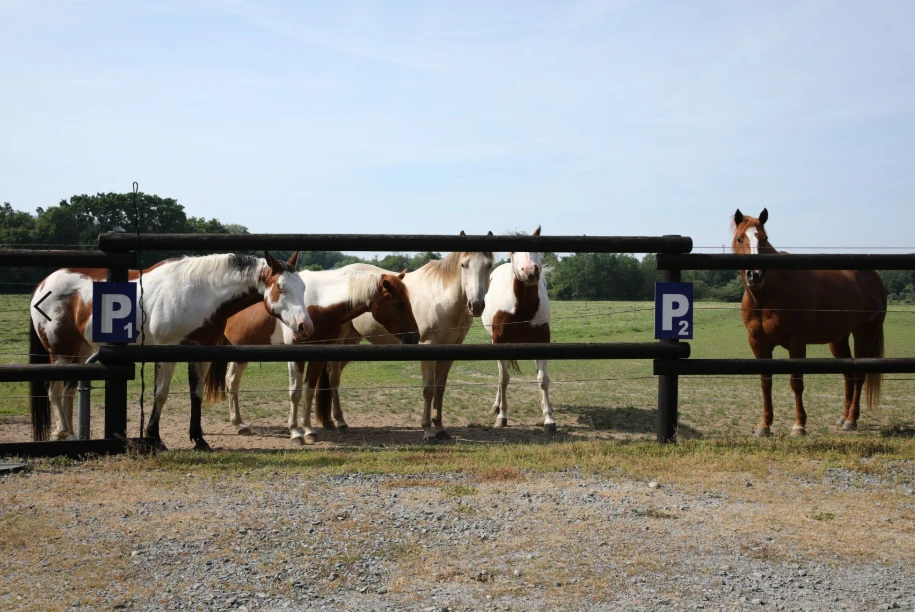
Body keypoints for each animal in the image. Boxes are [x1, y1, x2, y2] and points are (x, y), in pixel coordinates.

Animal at [28, 252, 312, 450]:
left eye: (304, 288)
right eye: (281, 288)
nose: (305, 327)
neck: (198, 292)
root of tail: (44, 283)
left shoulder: (201, 355)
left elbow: (196, 396)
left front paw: (199, 440)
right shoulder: (166, 352)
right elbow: (160, 395)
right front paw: (154, 438)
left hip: (78, 350)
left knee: (67, 391)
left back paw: (68, 433)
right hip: (60, 352)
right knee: (53, 391)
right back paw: (64, 433)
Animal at [207, 266, 420, 444]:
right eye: (399, 304)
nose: (414, 337)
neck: (317, 304)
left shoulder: (318, 356)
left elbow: (309, 391)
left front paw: (309, 431)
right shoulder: (296, 356)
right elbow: (295, 392)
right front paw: (295, 432)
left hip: (241, 351)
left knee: (231, 381)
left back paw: (239, 424)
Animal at [319, 235, 495, 443]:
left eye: (489, 265)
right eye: (463, 265)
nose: (476, 305)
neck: (441, 298)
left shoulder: (450, 349)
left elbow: (440, 389)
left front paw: (440, 429)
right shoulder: (428, 347)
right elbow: (428, 389)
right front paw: (428, 432)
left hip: (352, 340)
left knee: (333, 374)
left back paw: (330, 421)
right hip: (338, 341)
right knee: (334, 377)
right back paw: (340, 422)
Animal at [481, 226, 555, 433]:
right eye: (514, 251)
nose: (530, 271)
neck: (522, 309)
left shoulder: (542, 341)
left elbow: (542, 379)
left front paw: (548, 418)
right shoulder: (499, 341)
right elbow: (504, 378)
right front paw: (502, 416)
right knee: (501, 373)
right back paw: (496, 406)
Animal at [732, 209, 886, 436]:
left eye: (765, 238)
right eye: (740, 238)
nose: (756, 274)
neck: (767, 294)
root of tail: (873, 278)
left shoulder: (796, 342)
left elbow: (796, 382)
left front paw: (799, 425)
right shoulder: (758, 343)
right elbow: (765, 382)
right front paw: (764, 425)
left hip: (864, 335)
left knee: (859, 375)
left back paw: (851, 420)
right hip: (838, 340)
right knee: (848, 374)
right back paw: (843, 417)